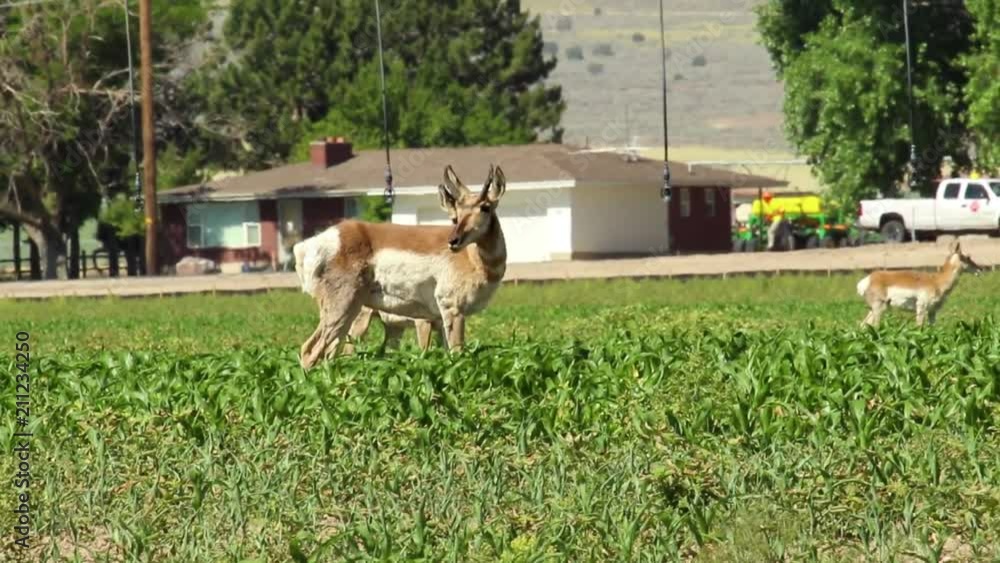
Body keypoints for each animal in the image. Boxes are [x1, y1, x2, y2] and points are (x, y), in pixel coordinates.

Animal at [294, 164, 507, 369]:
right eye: (457, 212)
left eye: (485, 207)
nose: (453, 241)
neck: (471, 258)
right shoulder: (451, 311)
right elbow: (457, 355)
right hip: (343, 310)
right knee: (310, 350)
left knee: (327, 352)